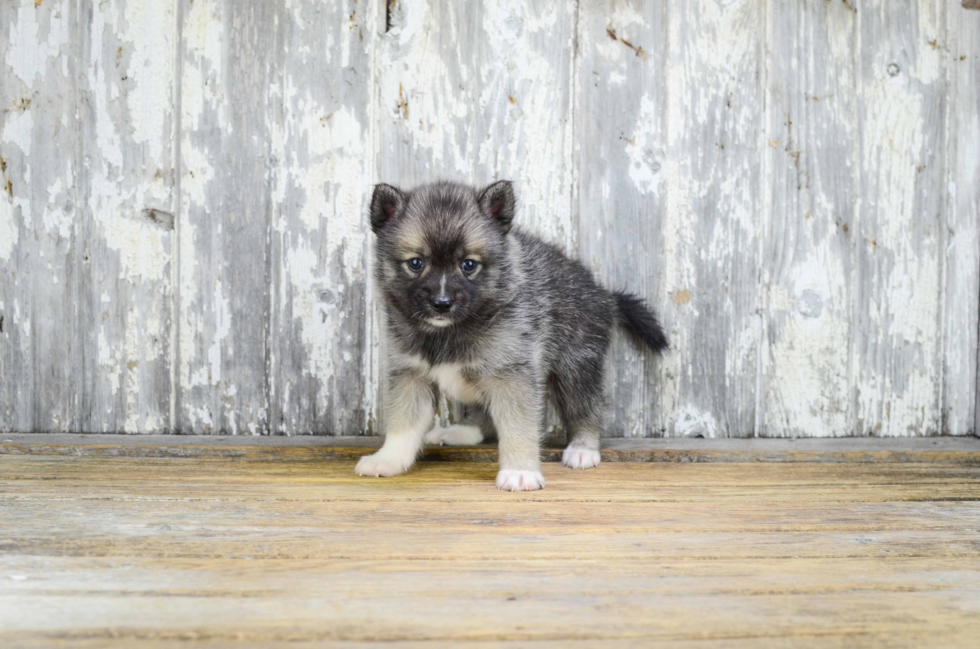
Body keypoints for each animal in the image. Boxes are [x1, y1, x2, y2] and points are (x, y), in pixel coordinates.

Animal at [352, 180, 668, 488]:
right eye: (416, 263)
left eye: (469, 265)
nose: (442, 303)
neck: (451, 330)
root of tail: (604, 293)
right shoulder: (411, 374)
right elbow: (403, 424)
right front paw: (389, 460)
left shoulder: (511, 374)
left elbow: (518, 427)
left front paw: (520, 471)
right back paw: (463, 432)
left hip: (576, 366)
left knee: (586, 408)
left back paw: (583, 449)